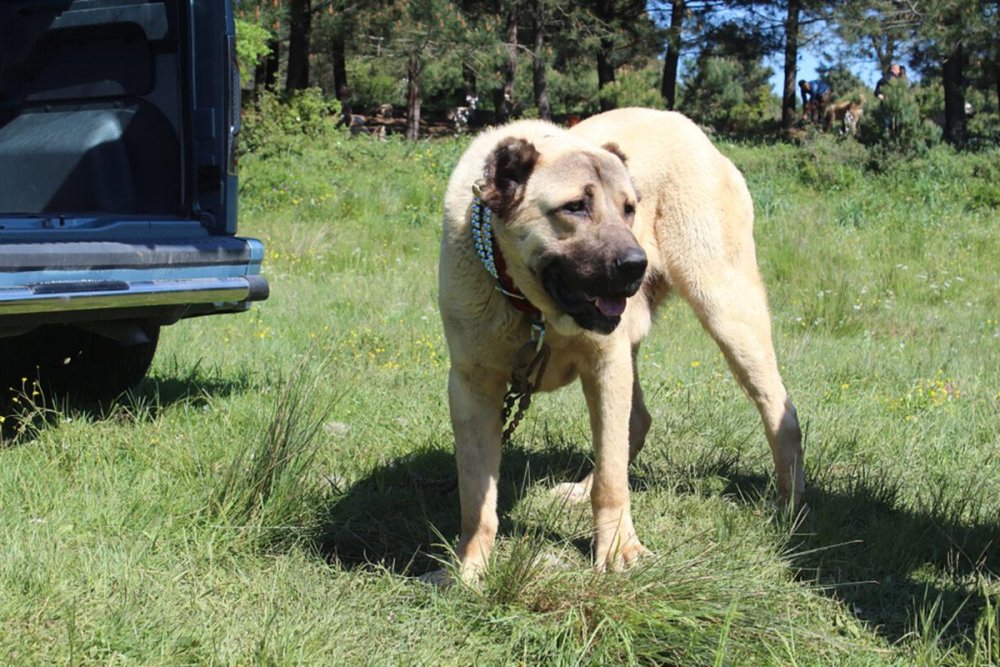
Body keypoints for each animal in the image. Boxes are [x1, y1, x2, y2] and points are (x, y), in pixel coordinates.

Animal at [438, 107, 804, 580]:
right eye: (575, 207)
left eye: (630, 208)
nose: (636, 264)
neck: (534, 309)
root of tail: (685, 124)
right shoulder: (472, 388)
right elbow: (476, 497)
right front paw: (469, 569)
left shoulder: (605, 365)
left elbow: (613, 481)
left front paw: (618, 551)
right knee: (636, 422)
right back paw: (581, 487)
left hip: (728, 310)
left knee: (779, 411)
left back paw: (788, 506)